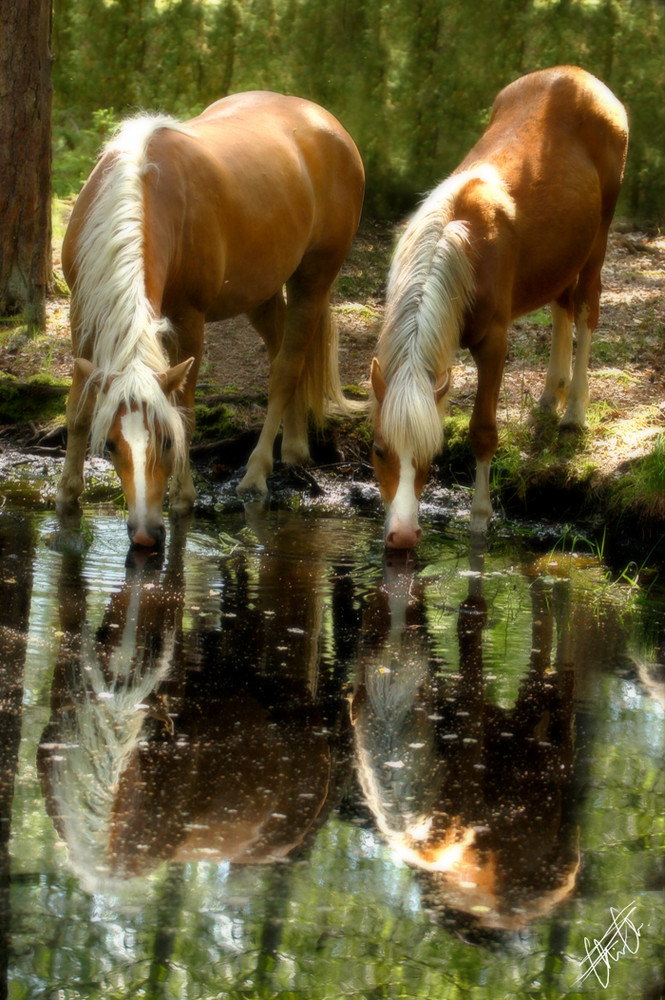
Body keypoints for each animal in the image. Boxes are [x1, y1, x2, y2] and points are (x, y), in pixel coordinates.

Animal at [57, 92, 366, 548]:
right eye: (111, 445)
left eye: (167, 441)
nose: (145, 533)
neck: (141, 194)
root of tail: (325, 120)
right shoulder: (83, 315)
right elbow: (78, 408)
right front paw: (67, 494)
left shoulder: (189, 319)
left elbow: (184, 408)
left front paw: (183, 498)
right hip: (261, 291)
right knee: (280, 351)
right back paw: (294, 449)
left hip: (314, 278)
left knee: (287, 368)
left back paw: (257, 474)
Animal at [368, 66, 628, 552]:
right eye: (377, 449)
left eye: (433, 454)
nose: (403, 537)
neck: (459, 242)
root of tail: (579, 74)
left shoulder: (493, 343)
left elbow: (483, 432)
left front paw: (479, 522)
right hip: (561, 251)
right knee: (563, 305)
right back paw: (550, 397)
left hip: (599, 238)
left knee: (586, 307)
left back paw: (573, 412)